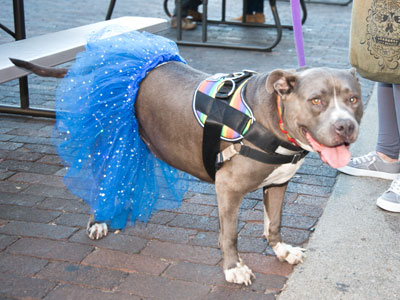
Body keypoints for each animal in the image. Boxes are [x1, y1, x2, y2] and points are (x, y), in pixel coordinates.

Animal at [11, 57, 362, 284]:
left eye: (353, 99)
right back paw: (99, 220)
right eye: (316, 101)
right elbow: (230, 233)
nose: (345, 126)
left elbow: (273, 223)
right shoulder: (228, 187)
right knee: (100, 182)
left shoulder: (278, 183)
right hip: (109, 141)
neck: (271, 116)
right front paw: (233, 268)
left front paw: (282, 251)